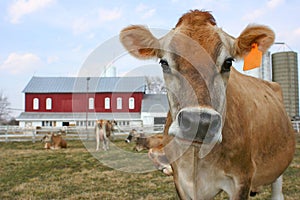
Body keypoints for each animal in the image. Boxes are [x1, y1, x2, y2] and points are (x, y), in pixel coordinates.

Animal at [119, 9, 296, 200]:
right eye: (164, 62)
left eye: (228, 62)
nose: (200, 122)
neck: (196, 159)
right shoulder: (181, 181)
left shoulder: (241, 179)